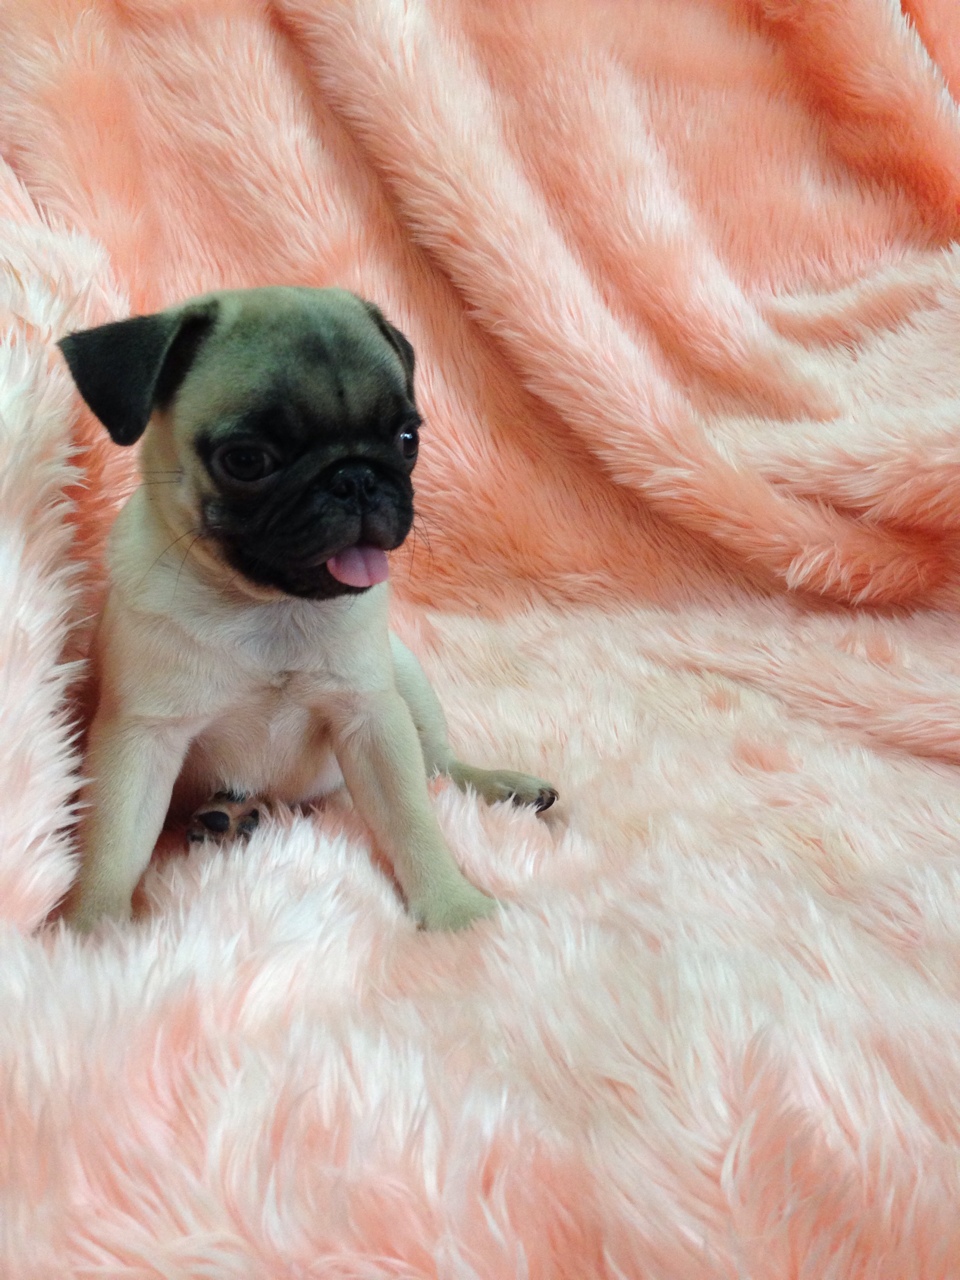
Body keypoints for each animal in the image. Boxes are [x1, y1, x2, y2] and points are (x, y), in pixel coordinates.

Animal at [57, 286, 557, 933]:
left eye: (407, 440)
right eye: (247, 460)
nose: (356, 478)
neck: (269, 607)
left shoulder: (372, 720)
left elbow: (413, 822)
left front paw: (456, 910)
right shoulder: (142, 736)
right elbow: (114, 844)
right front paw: (91, 930)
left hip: (407, 679)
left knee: (440, 768)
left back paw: (504, 787)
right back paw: (229, 815)